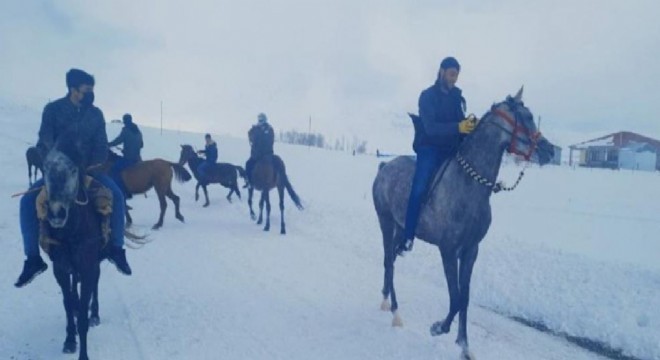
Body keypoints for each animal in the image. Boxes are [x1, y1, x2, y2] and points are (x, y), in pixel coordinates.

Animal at [374, 88, 556, 360]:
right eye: (526, 117)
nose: (549, 150)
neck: (470, 185)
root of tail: (384, 167)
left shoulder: (471, 250)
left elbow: (465, 297)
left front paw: (464, 344)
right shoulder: (448, 250)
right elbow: (456, 296)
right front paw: (439, 328)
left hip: (400, 229)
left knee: (392, 261)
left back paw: (389, 303)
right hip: (386, 222)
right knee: (388, 261)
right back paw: (395, 310)